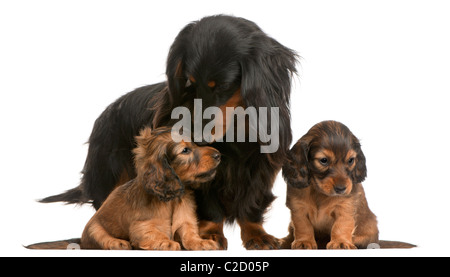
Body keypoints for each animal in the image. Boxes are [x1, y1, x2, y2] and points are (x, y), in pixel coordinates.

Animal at [81, 126, 222, 249]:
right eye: (185, 150)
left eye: (195, 144)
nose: (218, 155)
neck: (172, 199)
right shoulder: (141, 226)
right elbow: (154, 232)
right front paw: (166, 242)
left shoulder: (185, 220)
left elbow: (189, 232)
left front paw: (201, 242)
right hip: (93, 227)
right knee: (101, 237)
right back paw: (117, 242)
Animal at [284, 120, 378, 248]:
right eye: (324, 160)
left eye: (351, 160)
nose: (341, 189)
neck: (318, 191)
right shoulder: (298, 207)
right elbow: (303, 225)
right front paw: (304, 241)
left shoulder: (345, 207)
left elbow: (341, 225)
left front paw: (341, 242)